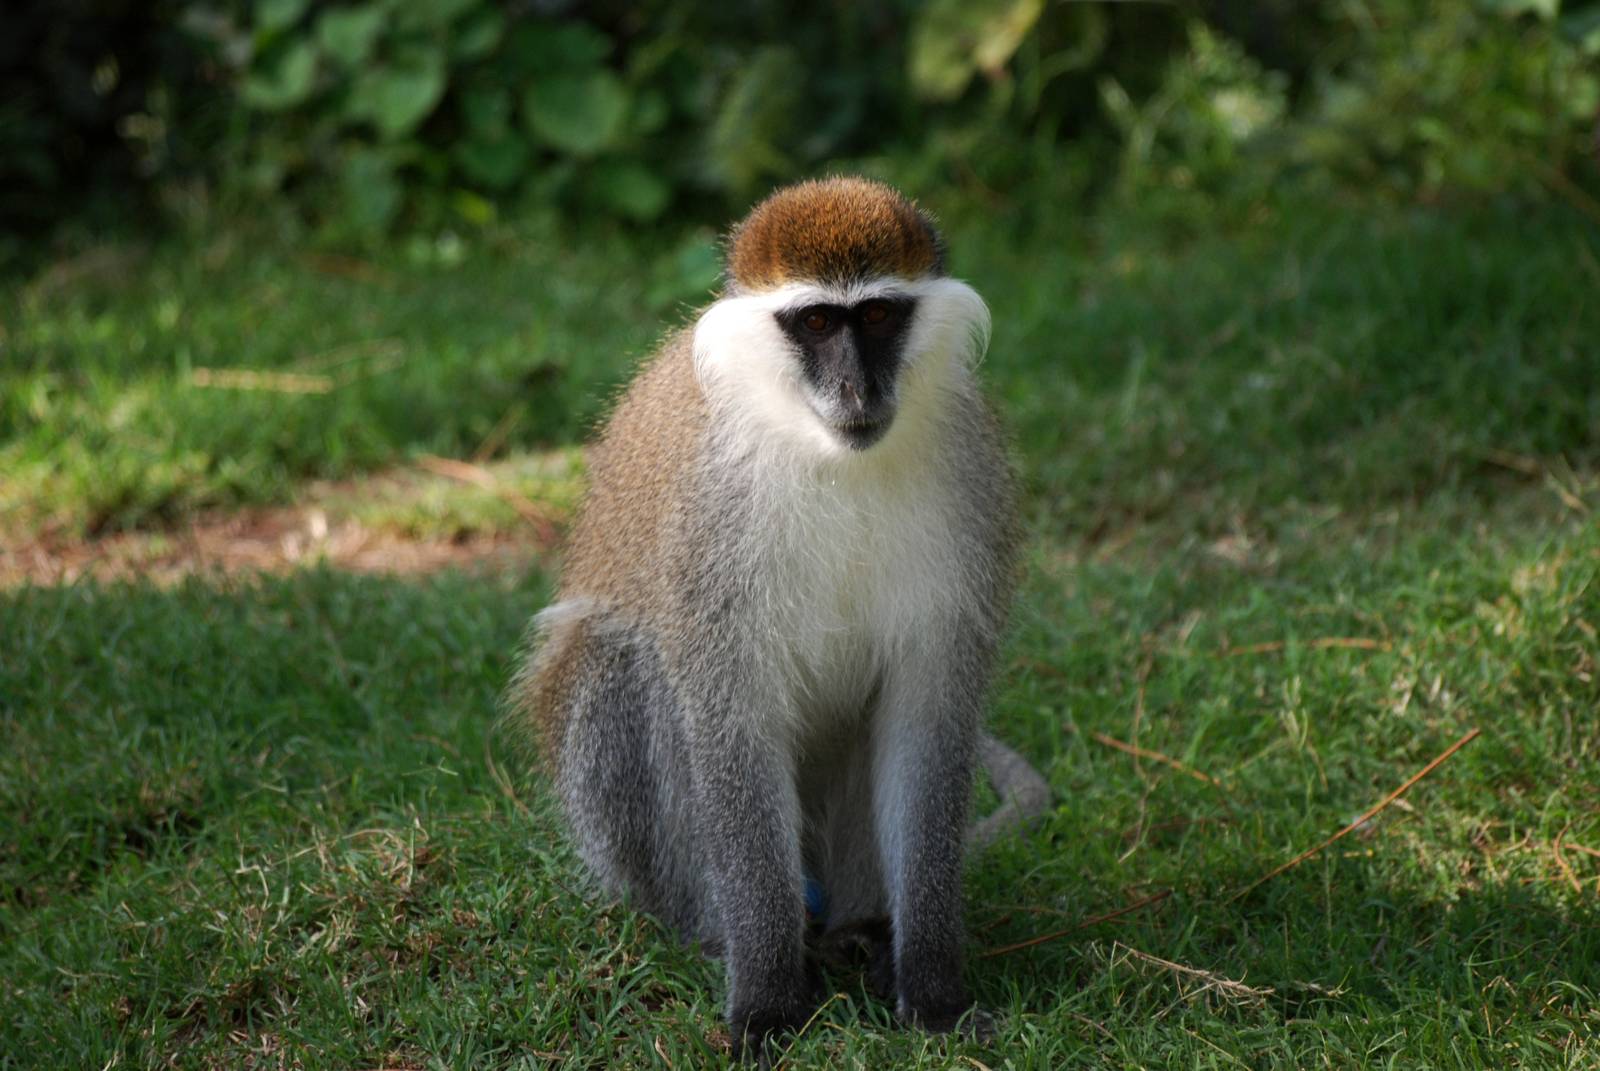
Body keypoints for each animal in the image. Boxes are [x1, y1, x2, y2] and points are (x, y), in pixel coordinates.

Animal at [509, 176, 1047, 1059]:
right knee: (618, 661)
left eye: (877, 316)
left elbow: (927, 722)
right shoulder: (712, 527)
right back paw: (726, 937)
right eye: (818, 323)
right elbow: (730, 725)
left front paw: (933, 991)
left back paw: (861, 931)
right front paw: (764, 1002)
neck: (826, 453)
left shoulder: (969, 484)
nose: (860, 390)